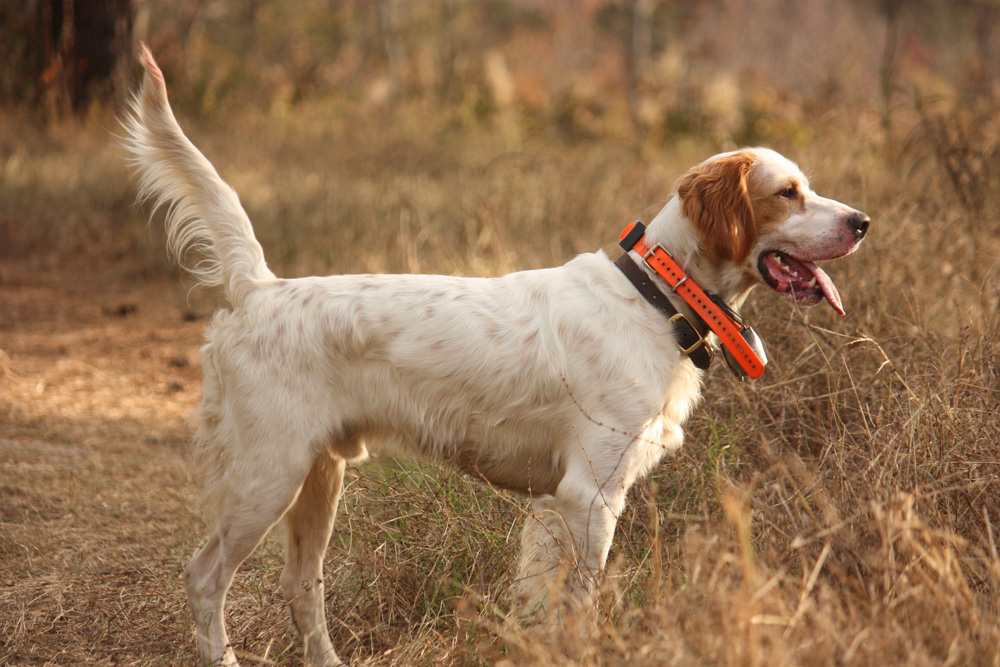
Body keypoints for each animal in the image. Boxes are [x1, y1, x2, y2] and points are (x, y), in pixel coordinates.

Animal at [123, 44, 868, 664]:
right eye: (787, 193)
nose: (862, 221)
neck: (657, 297)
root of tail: (258, 288)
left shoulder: (553, 505)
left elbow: (539, 602)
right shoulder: (591, 494)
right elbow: (582, 605)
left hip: (318, 479)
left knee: (301, 584)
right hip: (267, 475)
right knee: (205, 577)